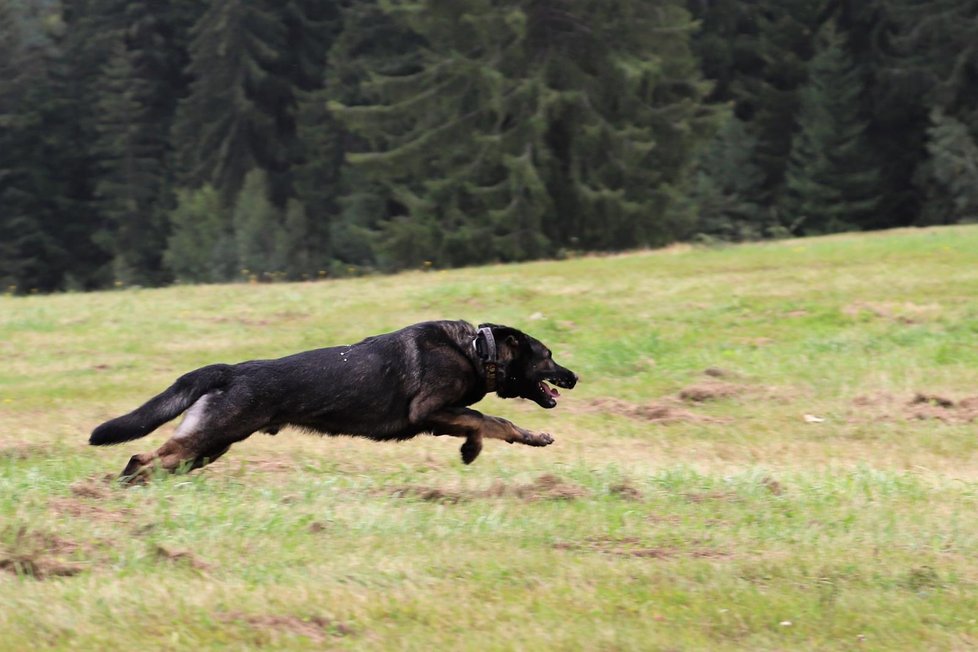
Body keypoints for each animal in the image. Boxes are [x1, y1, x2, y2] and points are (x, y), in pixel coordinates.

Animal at [87, 320, 576, 478]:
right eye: (548, 356)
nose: (575, 376)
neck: (477, 350)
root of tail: (231, 370)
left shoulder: (439, 416)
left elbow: (477, 422)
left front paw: (471, 449)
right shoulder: (429, 410)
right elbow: (491, 419)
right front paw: (528, 437)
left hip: (209, 446)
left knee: (156, 462)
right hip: (209, 436)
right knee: (141, 457)